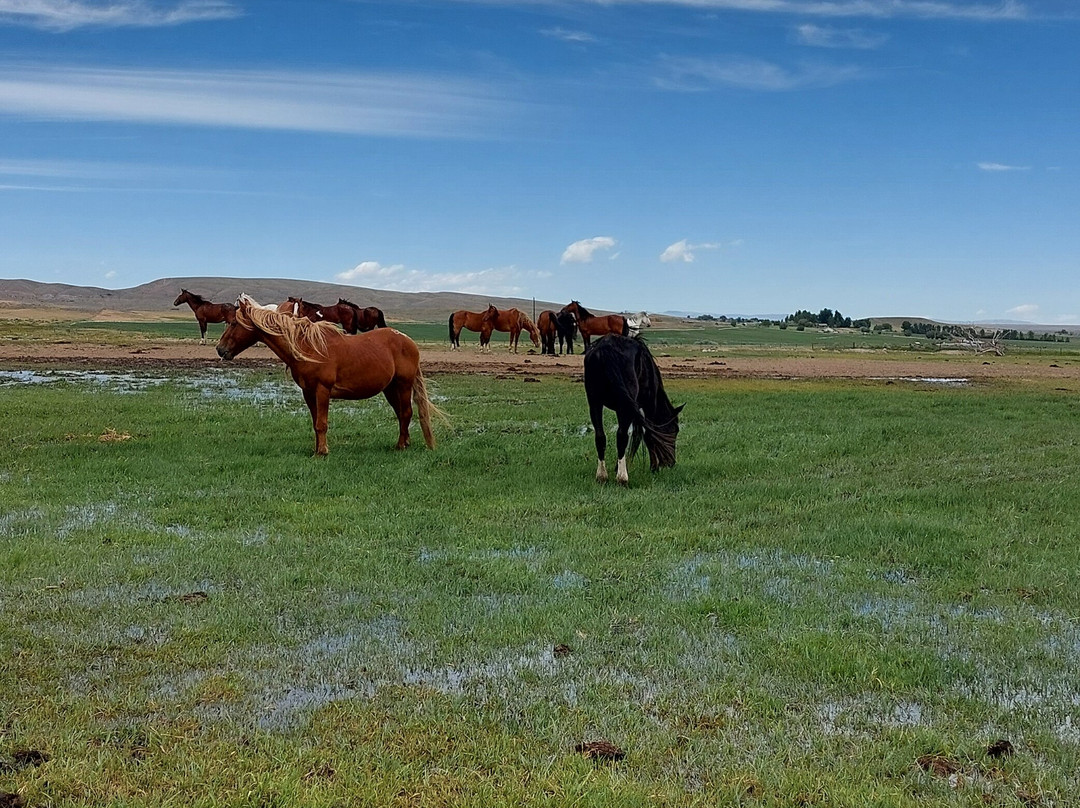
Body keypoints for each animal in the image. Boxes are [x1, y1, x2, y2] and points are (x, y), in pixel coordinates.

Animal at [217, 295, 441, 455]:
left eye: (234, 324)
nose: (220, 350)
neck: (307, 347)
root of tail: (407, 341)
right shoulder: (308, 393)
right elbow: (315, 422)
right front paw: (317, 450)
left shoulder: (322, 390)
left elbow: (321, 423)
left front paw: (323, 452)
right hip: (390, 388)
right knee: (401, 414)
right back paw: (405, 442)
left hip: (403, 385)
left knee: (406, 413)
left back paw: (401, 446)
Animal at [583, 334, 682, 486]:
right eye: (675, 430)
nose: (671, 463)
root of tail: (606, 349)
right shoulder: (647, 407)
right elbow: (649, 435)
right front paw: (653, 467)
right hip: (623, 407)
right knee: (621, 436)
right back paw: (622, 478)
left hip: (595, 403)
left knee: (600, 436)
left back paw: (602, 476)